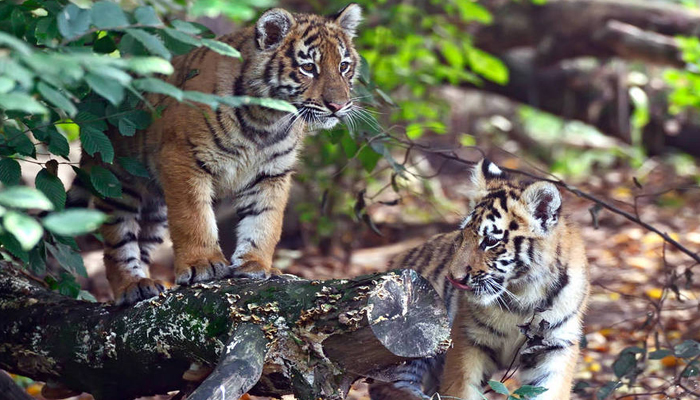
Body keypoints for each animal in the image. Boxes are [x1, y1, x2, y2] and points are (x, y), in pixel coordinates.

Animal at [69, 4, 364, 305]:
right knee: (117, 242)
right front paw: (203, 264)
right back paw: (132, 286)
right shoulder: (184, 159)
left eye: (343, 66)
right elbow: (193, 217)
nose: (338, 106)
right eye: (308, 68)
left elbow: (264, 221)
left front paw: (255, 265)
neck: (266, 120)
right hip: (118, 183)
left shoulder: (272, 173)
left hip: (155, 205)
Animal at [369, 159, 590, 400]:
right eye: (462, 236)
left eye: (491, 241)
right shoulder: (469, 338)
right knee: (387, 384)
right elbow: (461, 389)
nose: (454, 277)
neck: (523, 295)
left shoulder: (555, 346)